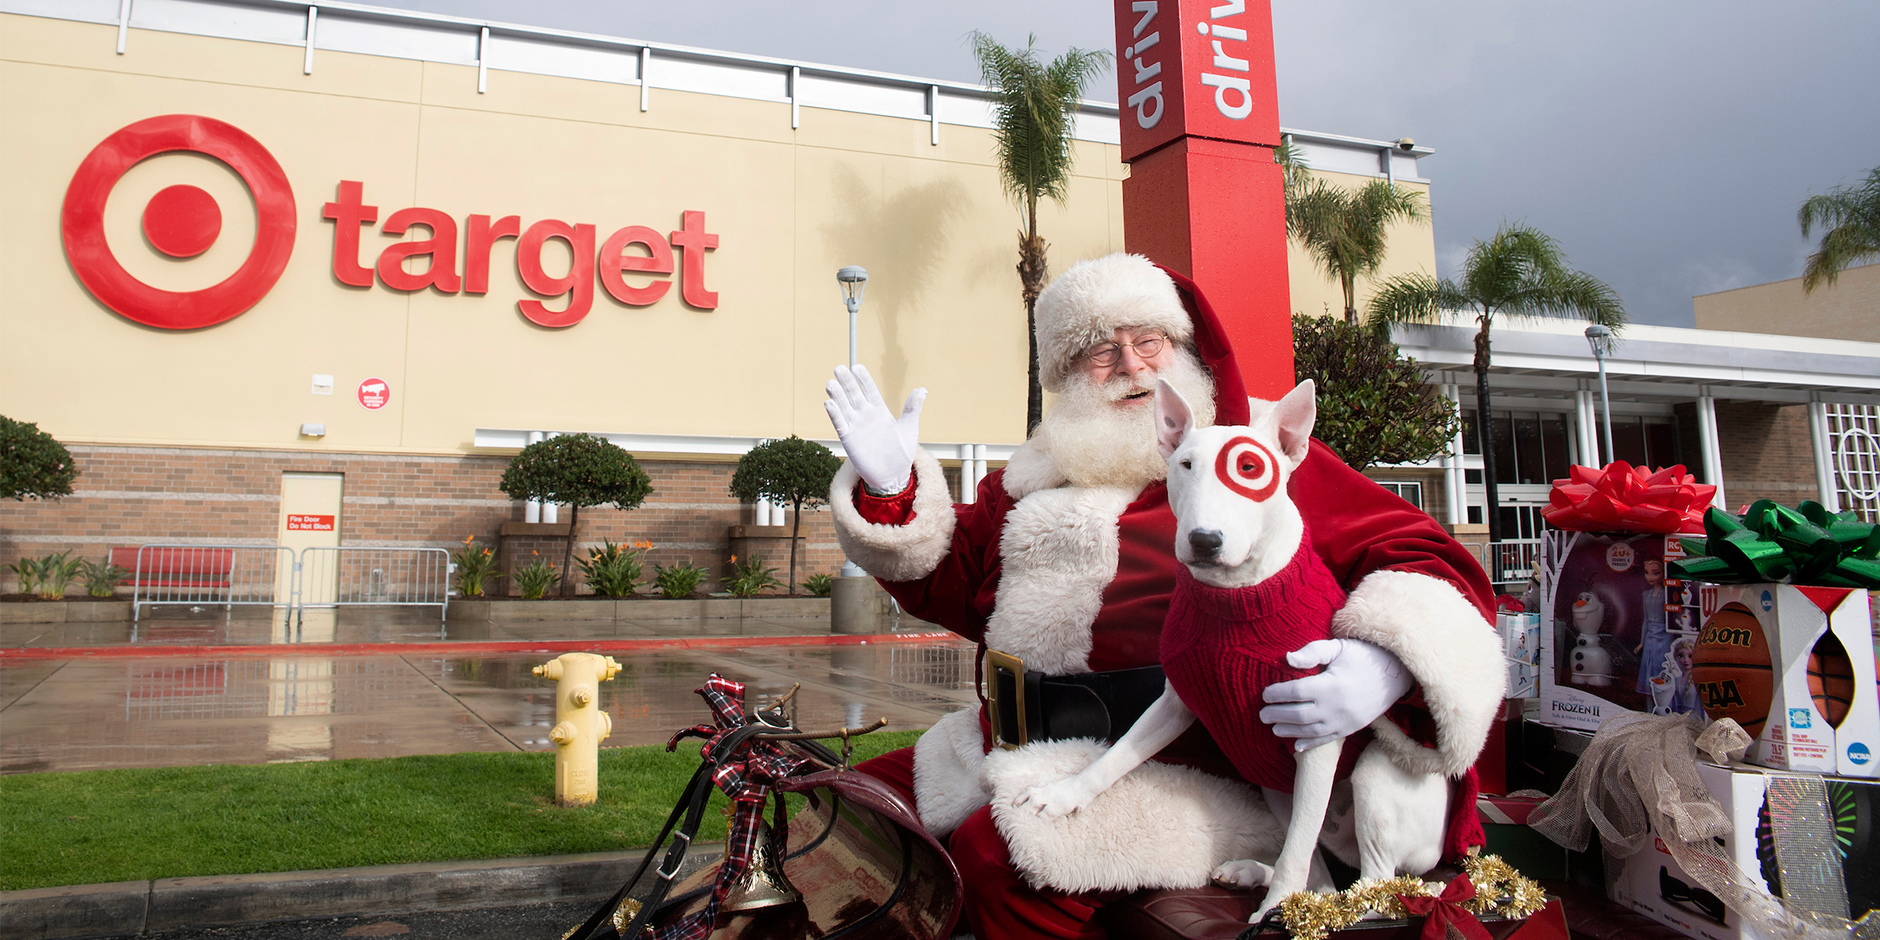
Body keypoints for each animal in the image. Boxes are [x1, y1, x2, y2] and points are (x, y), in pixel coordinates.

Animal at [1022, 377, 1443, 921]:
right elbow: (1115, 756)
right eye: (1184, 464)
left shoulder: (1318, 734)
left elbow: (1299, 845)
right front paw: (1064, 794)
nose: (1204, 540)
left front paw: (1280, 903)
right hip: (1272, 784)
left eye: (1250, 468)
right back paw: (1256, 875)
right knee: (1322, 874)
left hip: (1375, 779)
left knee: (1369, 882)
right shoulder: (1176, 701)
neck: (1238, 597)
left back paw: (1299, 904)